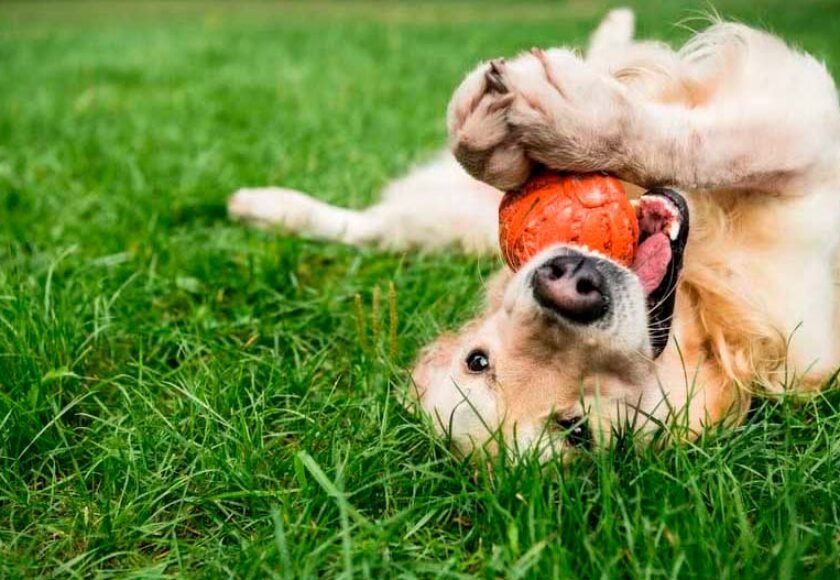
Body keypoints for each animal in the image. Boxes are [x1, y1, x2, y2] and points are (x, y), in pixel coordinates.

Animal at [228, 10, 840, 458]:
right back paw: (264, 207)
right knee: (372, 227)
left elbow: (703, 143)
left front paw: (563, 120)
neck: (710, 309)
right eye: (575, 428)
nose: (568, 285)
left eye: (476, 360)